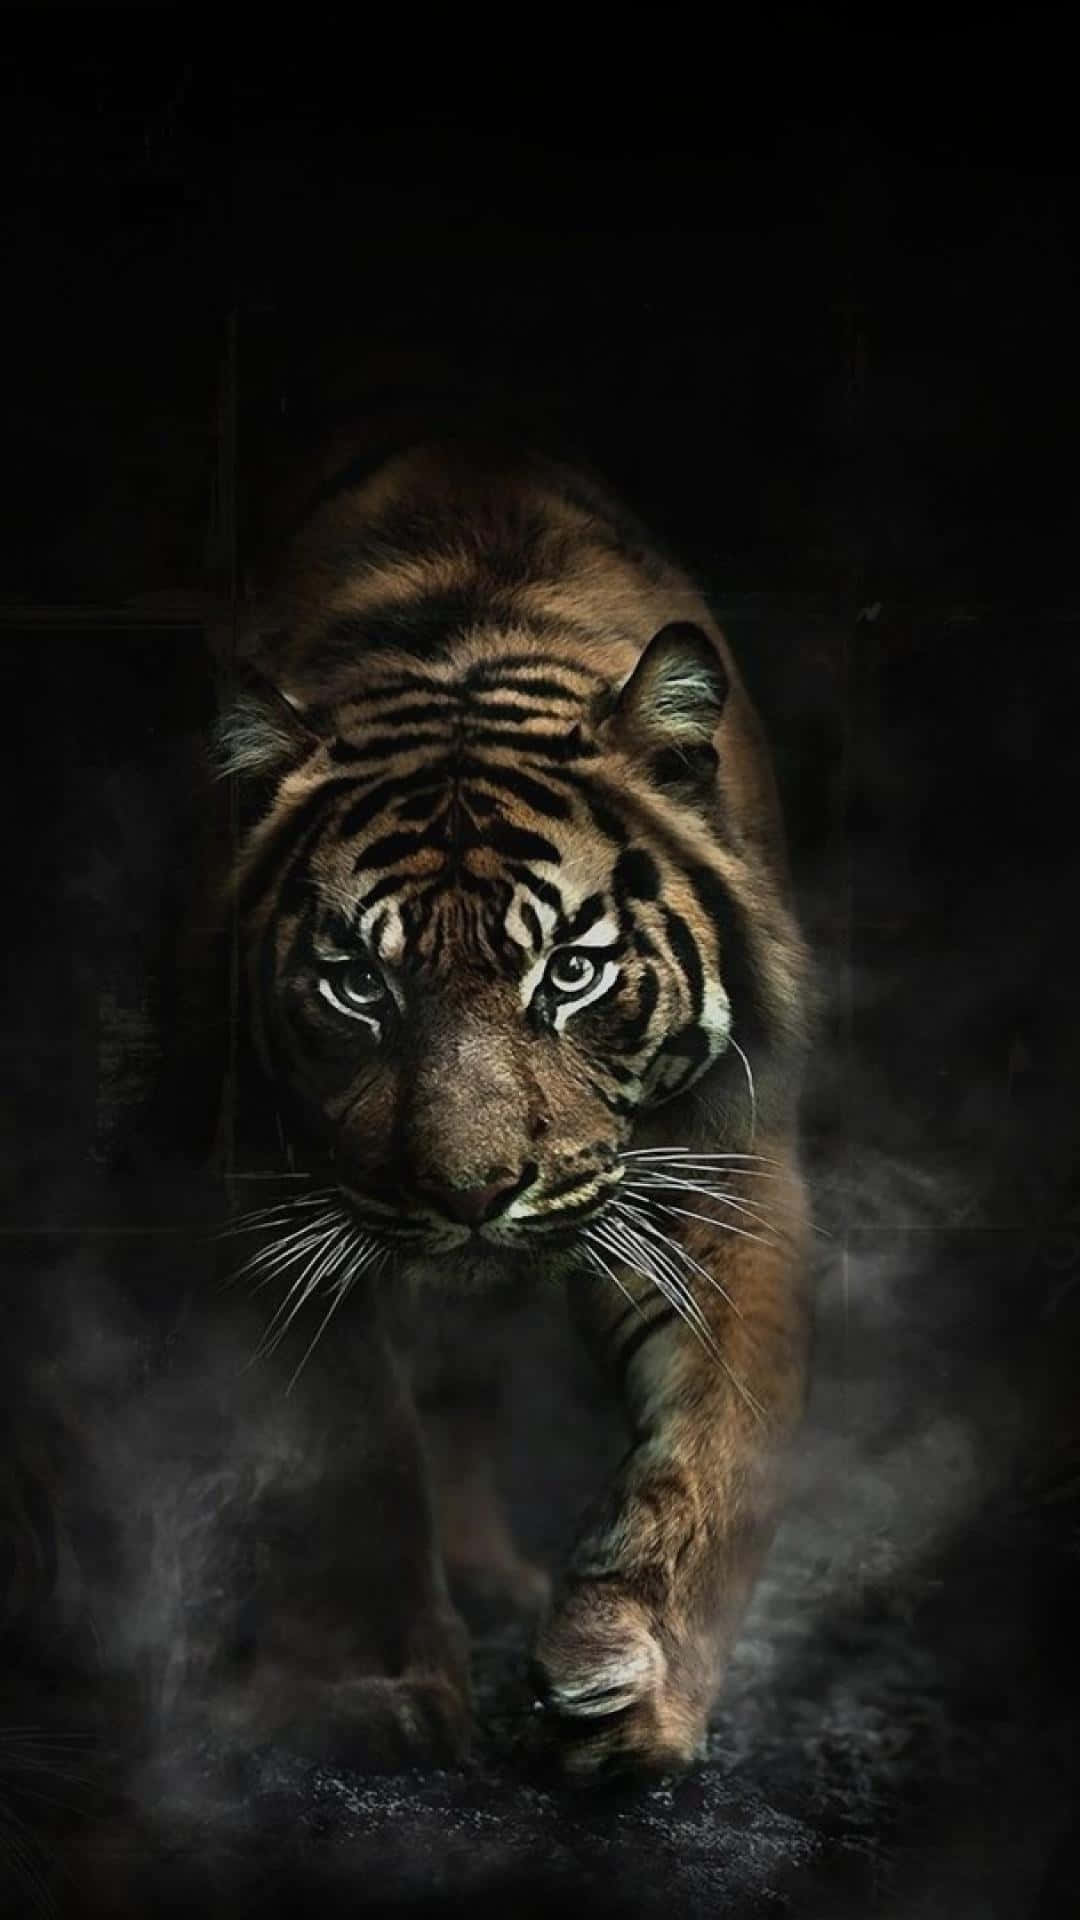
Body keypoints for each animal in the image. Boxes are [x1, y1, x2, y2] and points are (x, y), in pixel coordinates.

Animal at [209, 374, 813, 1782]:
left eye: (574, 973)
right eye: (357, 985)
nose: (473, 1195)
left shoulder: (728, 1167)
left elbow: (717, 1440)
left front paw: (631, 1683)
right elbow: (350, 1446)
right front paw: (377, 1690)